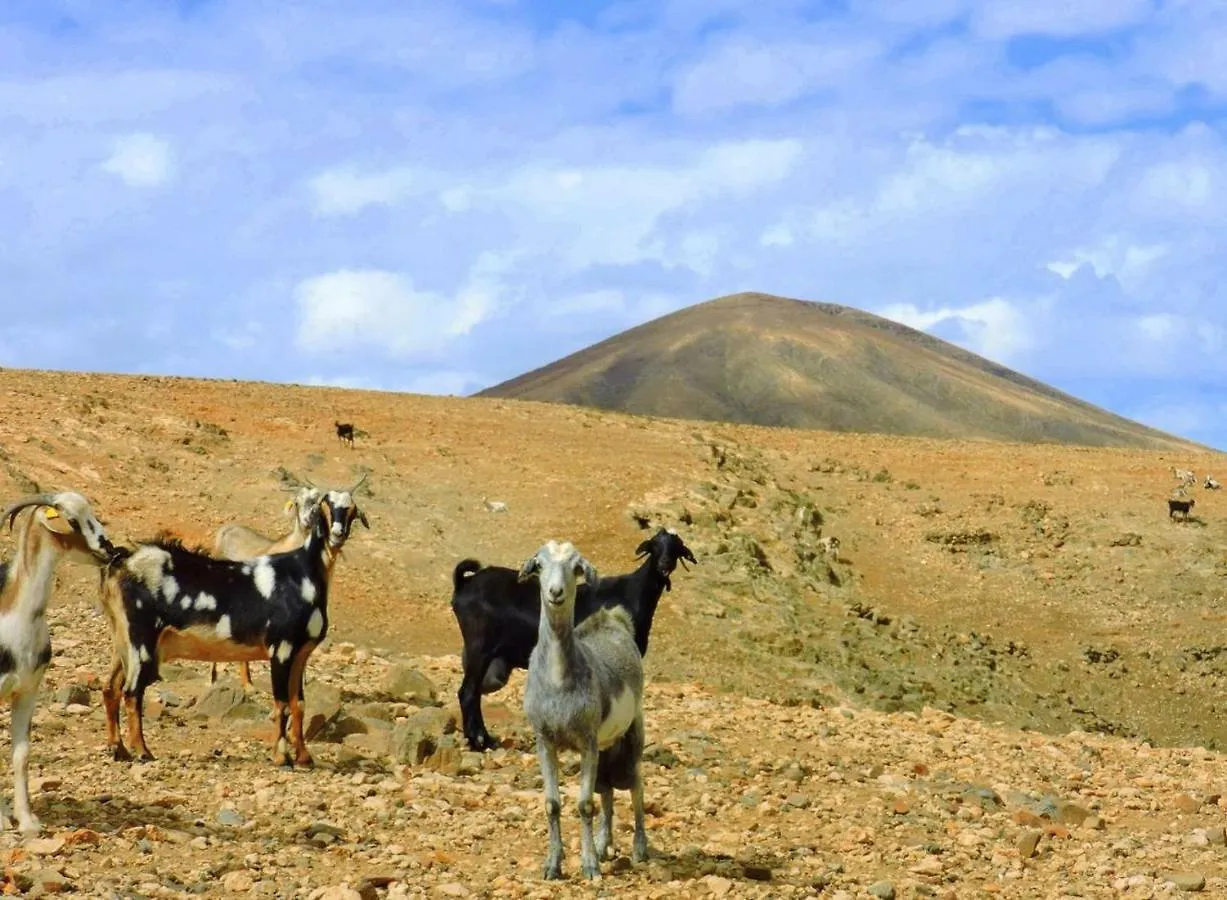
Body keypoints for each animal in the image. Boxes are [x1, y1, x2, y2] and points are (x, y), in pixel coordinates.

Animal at [98, 473, 368, 761]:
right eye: (325, 506)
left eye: (352, 509)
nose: (338, 535)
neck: (304, 572)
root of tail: (122, 561)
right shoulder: (281, 649)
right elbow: (282, 704)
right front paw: (282, 757)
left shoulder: (301, 654)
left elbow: (300, 704)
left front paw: (305, 758)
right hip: (142, 638)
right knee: (131, 692)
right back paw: (142, 751)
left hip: (122, 639)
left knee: (110, 688)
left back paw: (118, 748)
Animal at [451, 525, 701, 751]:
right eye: (655, 546)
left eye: (676, 548)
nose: (664, 565)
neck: (632, 594)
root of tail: (464, 584)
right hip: (479, 647)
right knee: (468, 693)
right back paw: (480, 742)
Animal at [520, 540, 652, 879]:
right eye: (539, 565)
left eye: (576, 568)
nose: (555, 592)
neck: (557, 682)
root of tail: (611, 618)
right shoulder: (545, 740)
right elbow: (552, 803)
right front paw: (553, 865)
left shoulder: (587, 739)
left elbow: (584, 804)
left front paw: (590, 866)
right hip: (606, 746)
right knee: (607, 790)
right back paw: (605, 844)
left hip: (632, 735)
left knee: (636, 787)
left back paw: (639, 849)